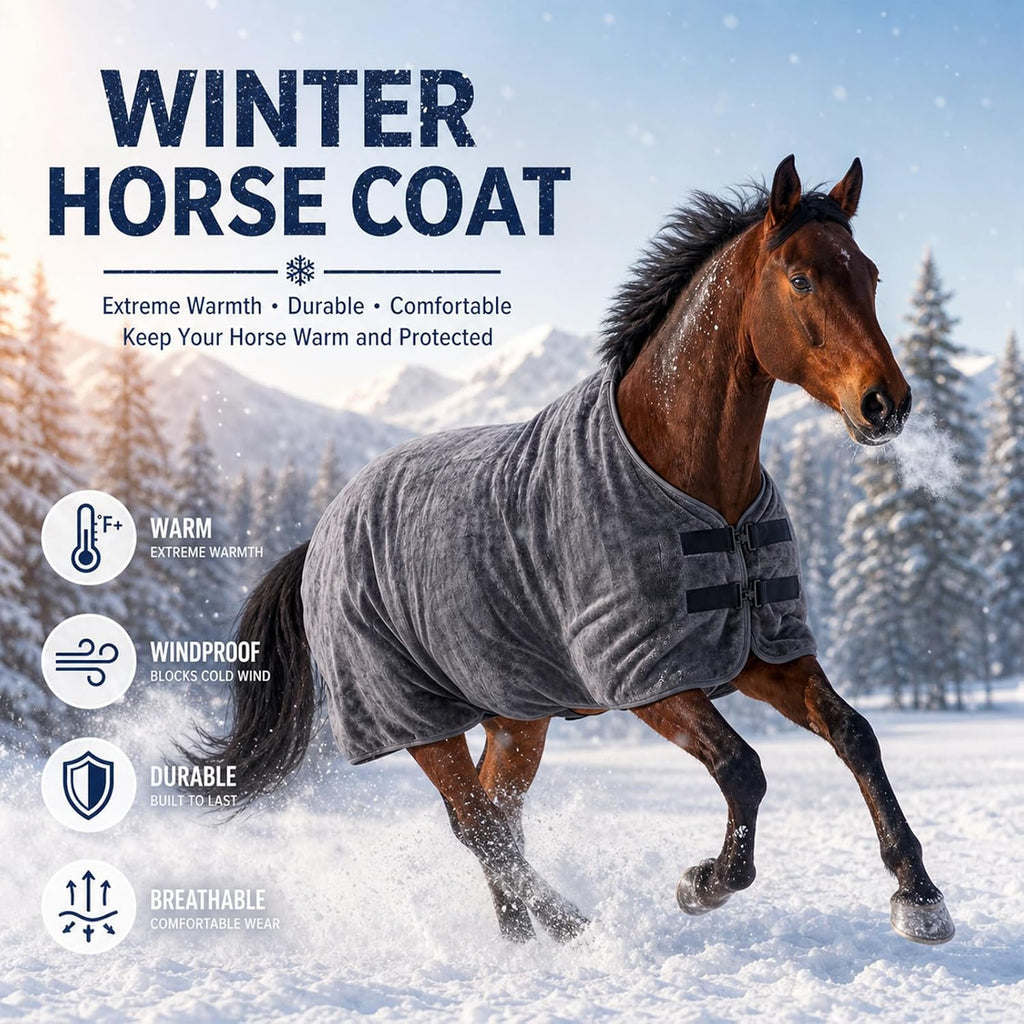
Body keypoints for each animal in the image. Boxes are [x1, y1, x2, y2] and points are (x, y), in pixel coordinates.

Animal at [184, 155, 954, 946]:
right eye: (800, 279)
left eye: (870, 274)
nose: (886, 403)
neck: (696, 486)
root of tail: (320, 536)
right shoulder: (648, 677)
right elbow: (744, 769)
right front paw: (701, 884)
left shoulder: (759, 651)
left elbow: (856, 734)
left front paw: (919, 897)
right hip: (419, 719)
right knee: (476, 824)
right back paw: (570, 927)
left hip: (515, 717)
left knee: (498, 817)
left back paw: (527, 936)